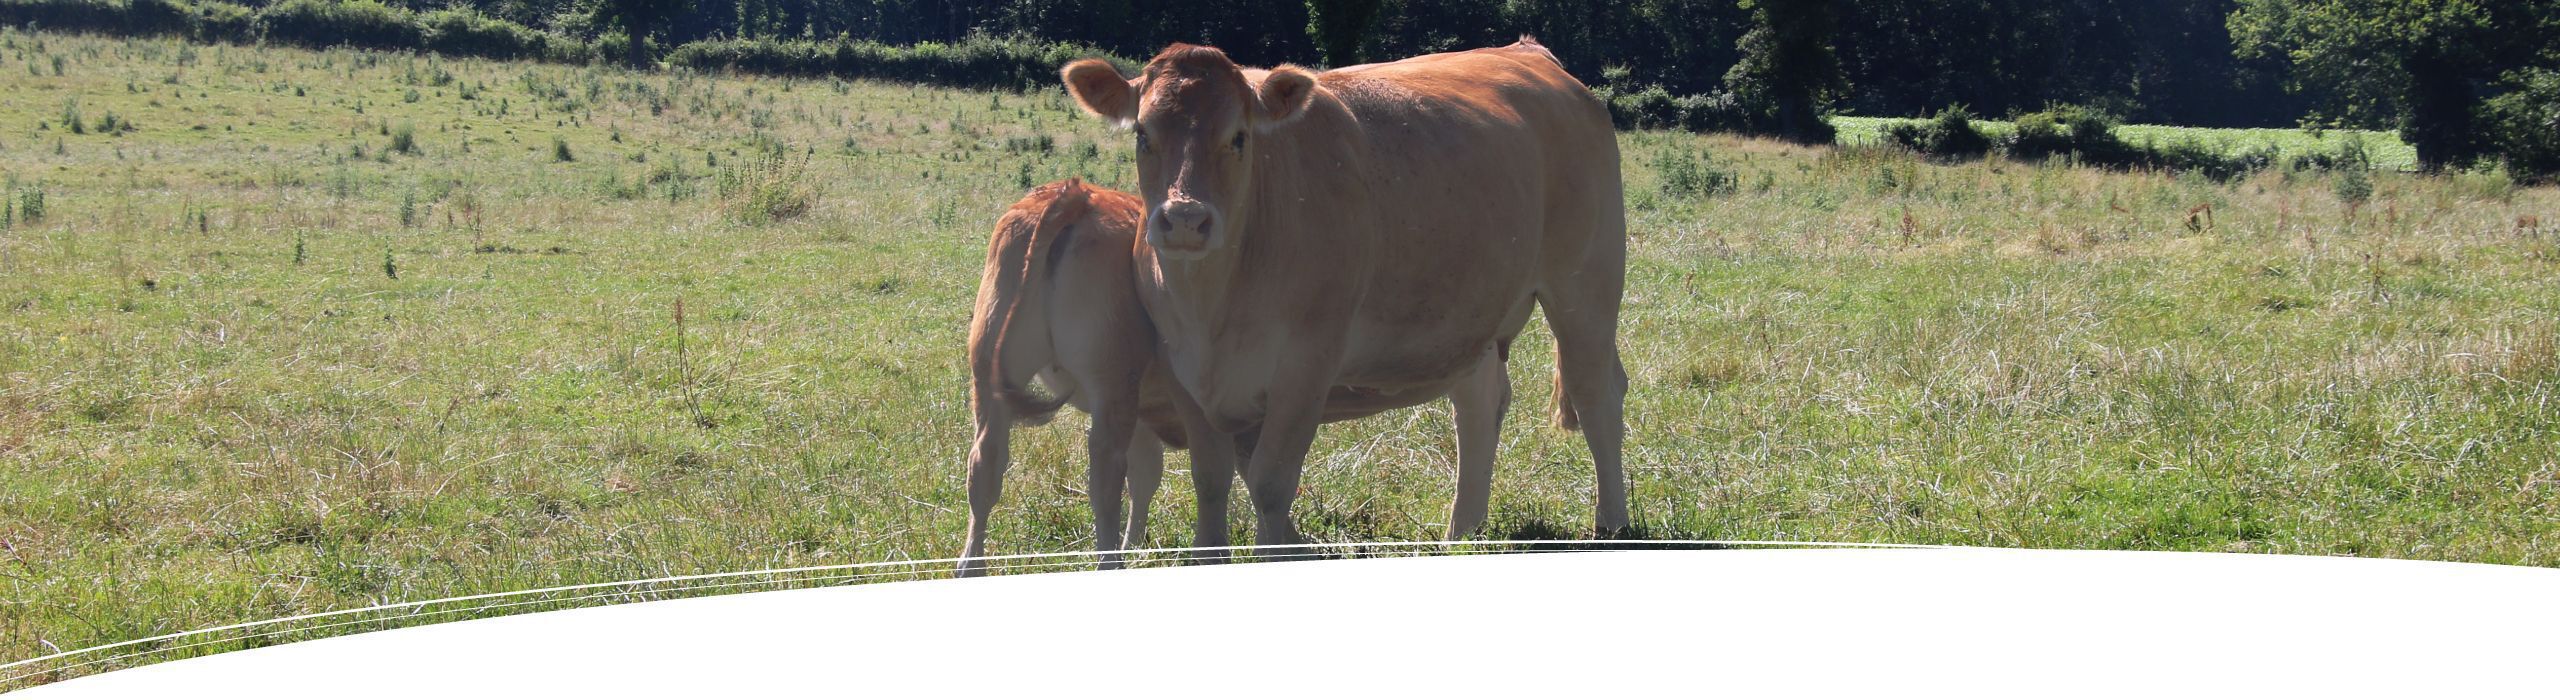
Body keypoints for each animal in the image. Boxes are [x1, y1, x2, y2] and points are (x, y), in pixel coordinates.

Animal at [958, 179, 1538, 576]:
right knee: (1101, 473)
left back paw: (972, 568)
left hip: (997, 374)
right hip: (1105, 385)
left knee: (987, 468)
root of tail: (1072, 194)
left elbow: (1157, 477)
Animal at [1059, 39, 1630, 548]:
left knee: (1595, 393)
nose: (1184, 219)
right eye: (1143, 135)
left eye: (1239, 137)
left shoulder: (1307, 366)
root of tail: (1528, 52)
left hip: (1586, 285)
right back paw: (1462, 530)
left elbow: (1270, 484)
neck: (1212, 306)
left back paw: (1612, 524)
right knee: (1480, 402)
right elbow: (1211, 482)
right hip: (1472, 313)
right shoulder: (1186, 377)